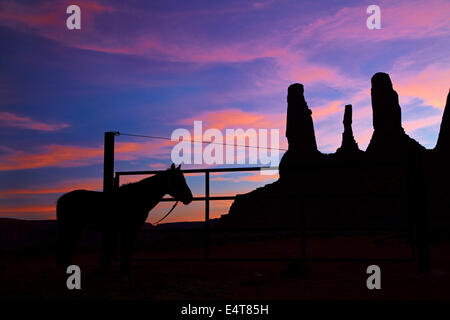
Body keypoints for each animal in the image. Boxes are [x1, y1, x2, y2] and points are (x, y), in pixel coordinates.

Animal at [56, 164, 192, 276]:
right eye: (178, 180)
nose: (189, 198)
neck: (136, 198)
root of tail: (62, 199)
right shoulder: (129, 229)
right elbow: (127, 249)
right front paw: (125, 271)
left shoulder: (128, 230)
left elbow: (127, 249)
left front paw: (124, 270)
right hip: (73, 227)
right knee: (67, 246)